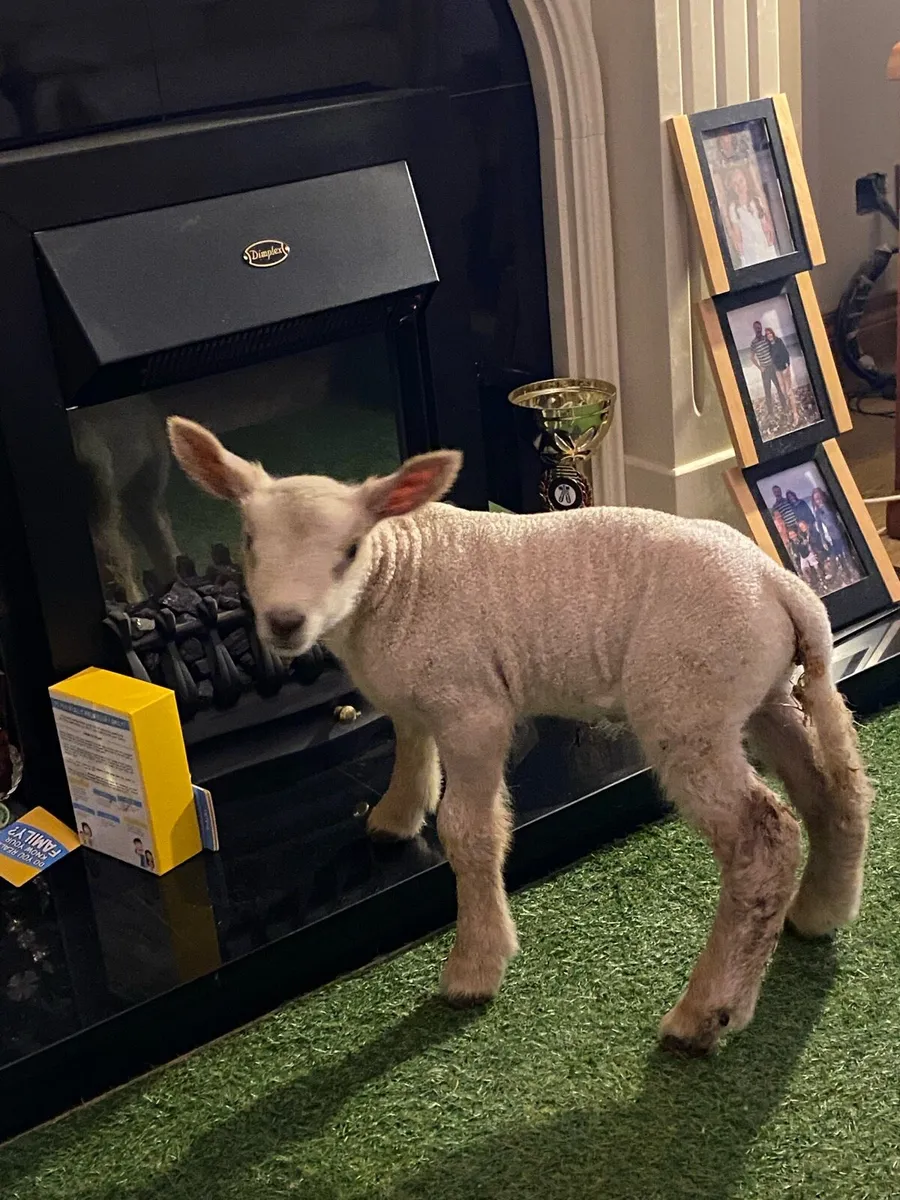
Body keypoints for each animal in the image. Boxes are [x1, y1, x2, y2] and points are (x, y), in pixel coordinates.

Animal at [167, 416, 872, 1055]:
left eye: (349, 551)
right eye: (249, 541)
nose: (285, 623)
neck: (398, 575)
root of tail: (784, 586)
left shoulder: (473, 708)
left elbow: (470, 831)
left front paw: (475, 968)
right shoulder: (415, 698)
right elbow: (408, 750)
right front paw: (394, 818)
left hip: (688, 704)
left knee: (764, 839)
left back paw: (706, 1014)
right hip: (757, 695)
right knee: (835, 790)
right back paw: (819, 911)